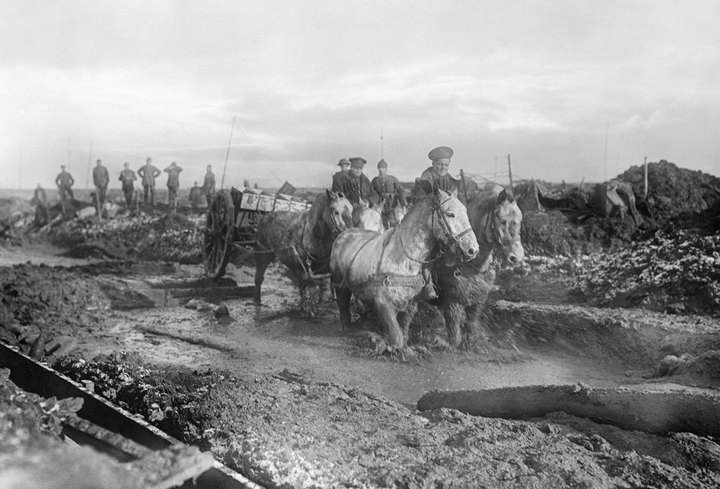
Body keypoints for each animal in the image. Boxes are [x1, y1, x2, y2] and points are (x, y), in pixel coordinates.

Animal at [330, 182, 478, 350]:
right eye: (450, 214)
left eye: (465, 212)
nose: (473, 249)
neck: (404, 260)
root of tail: (343, 234)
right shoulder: (383, 304)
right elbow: (396, 337)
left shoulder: (410, 305)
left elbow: (404, 330)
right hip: (340, 285)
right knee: (343, 304)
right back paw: (346, 327)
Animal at [430, 189, 524, 348]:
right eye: (502, 221)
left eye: (519, 220)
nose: (517, 256)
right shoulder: (452, 303)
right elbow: (454, 336)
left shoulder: (477, 303)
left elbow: (470, 328)